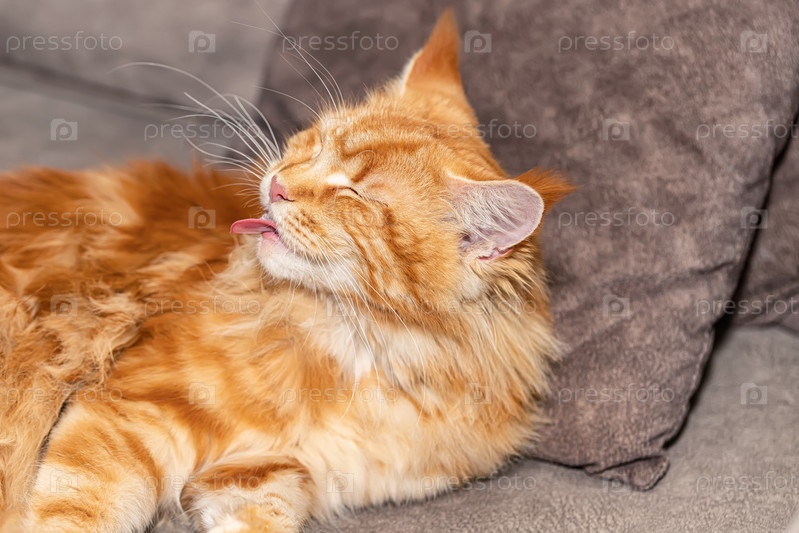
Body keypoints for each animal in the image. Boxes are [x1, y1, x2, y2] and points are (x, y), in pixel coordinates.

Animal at [0, 9, 571, 532]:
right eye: (314, 144)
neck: (364, 351)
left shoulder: (262, 475)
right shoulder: (130, 414)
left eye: (353, 194)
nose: (277, 185)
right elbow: (75, 513)